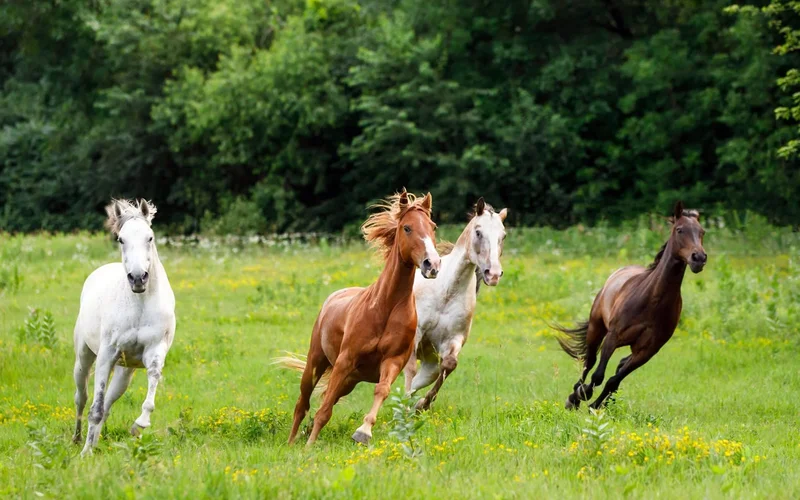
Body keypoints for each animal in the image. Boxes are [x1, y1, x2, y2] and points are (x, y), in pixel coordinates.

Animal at [72, 199, 176, 456]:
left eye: (150, 237)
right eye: (121, 239)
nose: (138, 278)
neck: (139, 303)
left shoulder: (154, 351)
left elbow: (153, 379)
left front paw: (140, 425)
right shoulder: (106, 355)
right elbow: (95, 407)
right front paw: (85, 454)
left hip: (124, 372)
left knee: (108, 403)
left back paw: (94, 442)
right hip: (84, 358)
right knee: (82, 397)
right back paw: (78, 441)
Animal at [279, 189, 440, 446]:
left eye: (433, 227)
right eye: (407, 227)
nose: (432, 264)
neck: (385, 308)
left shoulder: (392, 361)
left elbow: (381, 391)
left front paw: (363, 432)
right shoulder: (345, 361)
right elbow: (324, 410)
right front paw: (309, 447)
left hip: (350, 380)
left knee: (325, 398)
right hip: (316, 363)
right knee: (303, 403)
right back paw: (292, 442)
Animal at [404, 197, 507, 410]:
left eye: (503, 236)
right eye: (478, 232)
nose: (493, 274)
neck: (446, 293)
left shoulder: (453, 340)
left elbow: (450, 364)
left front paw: (422, 405)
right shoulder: (416, 333)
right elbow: (409, 370)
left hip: (430, 366)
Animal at [554, 201, 707, 410]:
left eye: (702, 232)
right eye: (680, 230)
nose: (698, 258)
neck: (652, 301)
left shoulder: (647, 351)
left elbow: (614, 380)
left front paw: (595, 406)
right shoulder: (613, 337)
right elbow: (598, 375)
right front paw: (582, 395)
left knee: (618, 365)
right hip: (596, 327)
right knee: (589, 361)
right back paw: (574, 397)